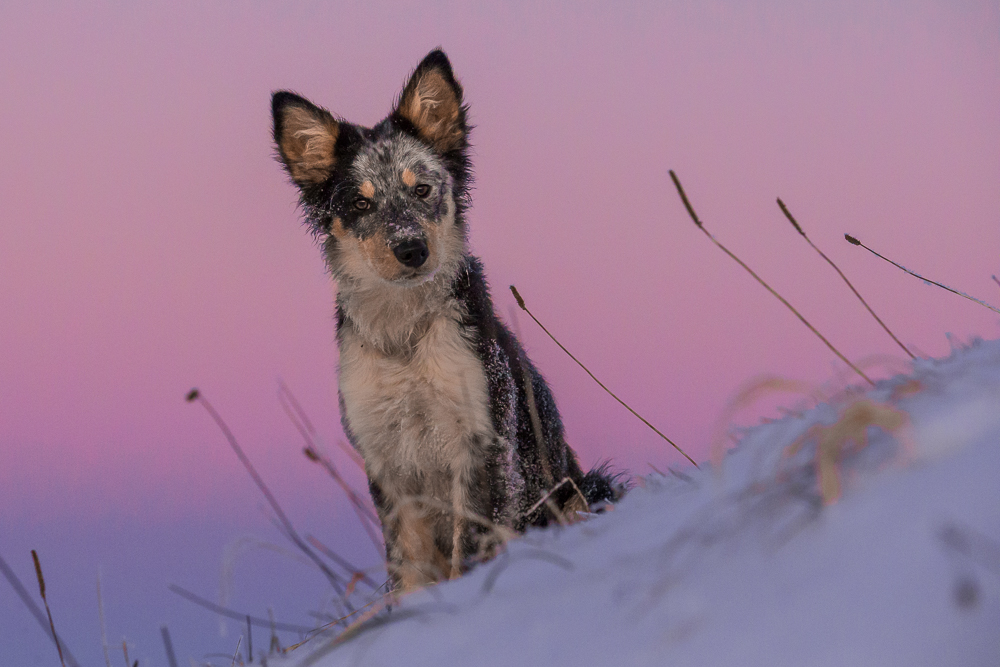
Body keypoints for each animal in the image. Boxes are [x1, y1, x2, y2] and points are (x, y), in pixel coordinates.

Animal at [270, 48, 620, 588]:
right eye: (360, 203)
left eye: (423, 190)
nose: (411, 249)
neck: (405, 342)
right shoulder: (387, 463)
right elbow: (407, 569)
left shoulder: (479, 445)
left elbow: (468, 549)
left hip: (588, 488)